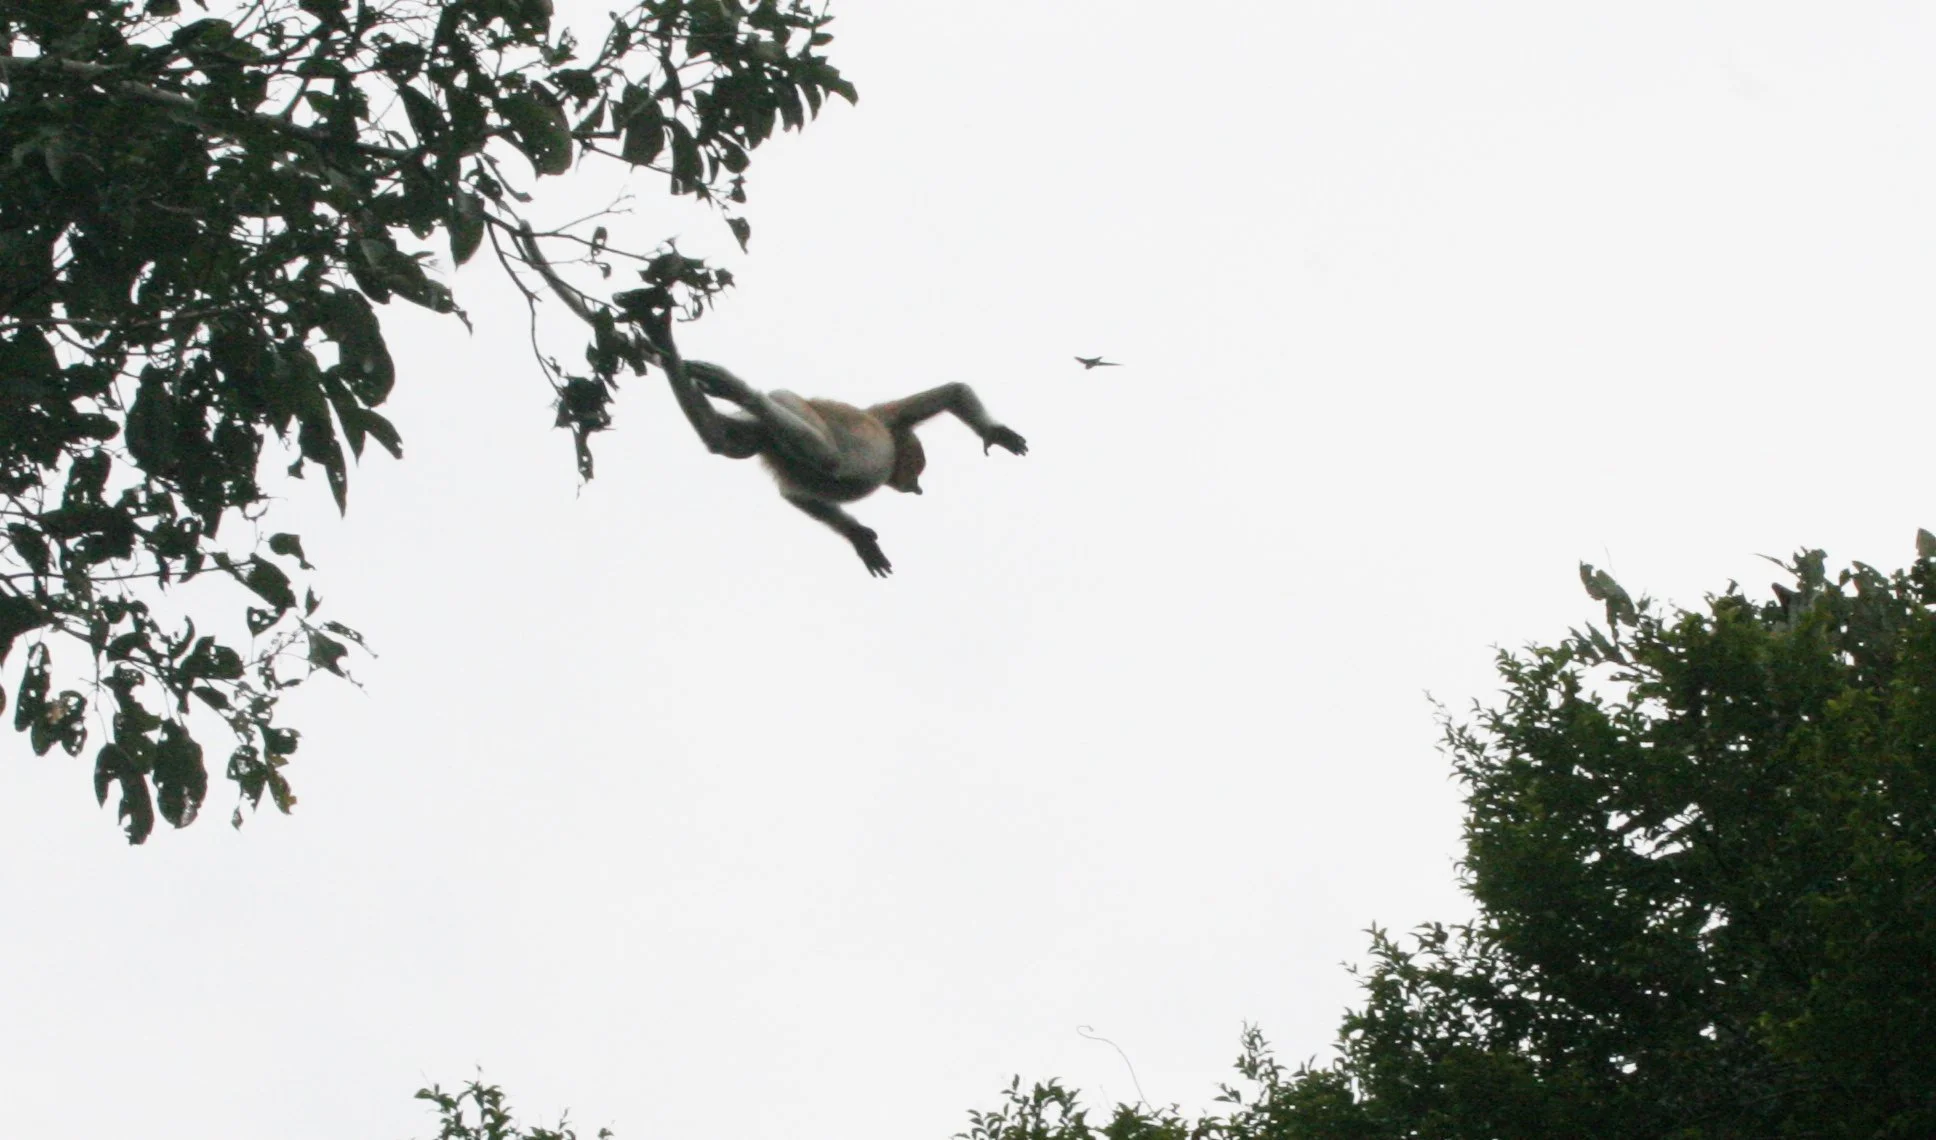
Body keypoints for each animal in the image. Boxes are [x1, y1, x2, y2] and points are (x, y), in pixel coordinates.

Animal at [665, 359, 1027, 577]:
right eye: (917, 471)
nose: (917, 487)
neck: (893, 442)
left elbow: (795, 495)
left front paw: (859, 537)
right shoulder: (888, 422)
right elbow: (951, 392)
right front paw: (997, 433)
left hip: (769, 427)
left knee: (727, 441)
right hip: (794, 404)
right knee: (828, 456)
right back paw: (739, 390)